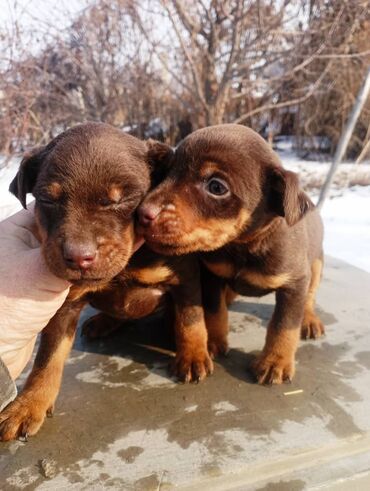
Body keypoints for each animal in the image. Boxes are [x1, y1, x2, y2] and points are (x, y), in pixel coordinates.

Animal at [136, 125, 324, 386]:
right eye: (167, 172)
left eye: (216, 187)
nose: (142, 213)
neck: (242, 247)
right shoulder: (213, 275)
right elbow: (215, 311)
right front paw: (213, 343)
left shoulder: (293, 284)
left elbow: (284, 326)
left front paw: (275, 362)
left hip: (316, 266)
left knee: (310, 296)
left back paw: (309, 320)